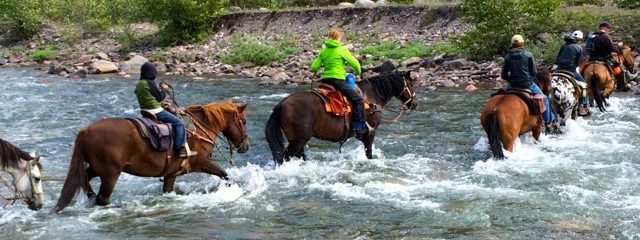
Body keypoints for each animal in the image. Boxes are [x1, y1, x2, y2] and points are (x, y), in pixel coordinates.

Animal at [53, 100, 249, 213]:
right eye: (244, 121)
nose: (246, 146)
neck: (200, 127)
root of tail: (87, 130)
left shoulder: (171, 173)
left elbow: (168, 190)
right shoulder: (200, 162)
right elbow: (224, 174)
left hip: (96, 168)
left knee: (84, 179)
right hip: (110, 174)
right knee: (103, 198)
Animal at [264, 71, 418, 165]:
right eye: (411, 84)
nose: (414, 104)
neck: (372, 96)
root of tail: (281, 104)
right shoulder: (370, 132)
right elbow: (369, 153)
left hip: (297, 140)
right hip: (298, 140)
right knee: (285, 157)